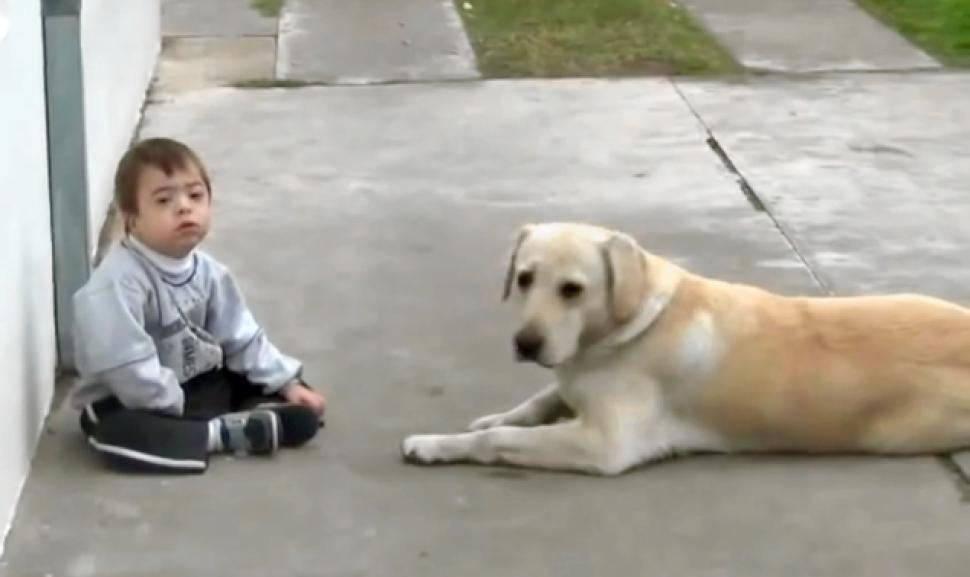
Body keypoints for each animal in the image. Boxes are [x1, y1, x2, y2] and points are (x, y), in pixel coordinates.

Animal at [398, 220, 968, 472]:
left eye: (572, 289)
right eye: (523, 278)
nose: (526, 342)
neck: (625, 326)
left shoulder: (605, 444)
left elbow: (500, 440)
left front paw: (436, 444)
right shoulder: (574, 381)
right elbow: (538, 400)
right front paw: (494, 417)